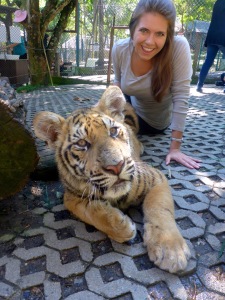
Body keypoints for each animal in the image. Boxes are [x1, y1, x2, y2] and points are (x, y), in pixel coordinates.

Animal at [33, 85, 191, 274]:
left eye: (113, 131)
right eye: (81, 143)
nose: (116, 166)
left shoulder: (156, 177)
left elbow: (160, 209)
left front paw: (171, 251)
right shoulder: (70, 197)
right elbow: (90, 211)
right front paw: (122, 227)